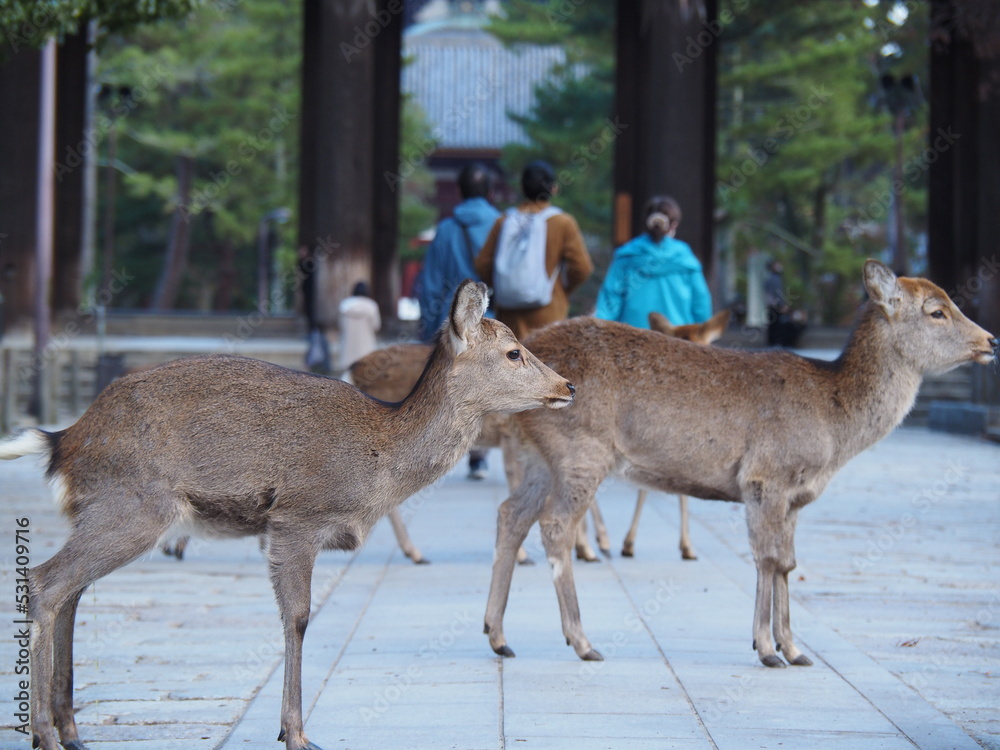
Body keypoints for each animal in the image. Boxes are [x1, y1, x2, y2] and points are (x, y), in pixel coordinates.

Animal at [0, 281, 574, 750]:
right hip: (134, 506)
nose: (568, 386)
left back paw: (72, 731)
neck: (378, 467)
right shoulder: (297, 518)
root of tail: (64, 442)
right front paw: (296, 733)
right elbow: (297, 617)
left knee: (71, 591)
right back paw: (45, 734)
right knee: (46, 580)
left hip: (101, 511)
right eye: (514, 352)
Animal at [482, 261, 997, 668]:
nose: (991, 340)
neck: (834, 429)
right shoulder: (766, 476)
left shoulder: (794, 496)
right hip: (581, 451)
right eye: (936, 310)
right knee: (555, 526)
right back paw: (583, 641)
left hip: (539, 457)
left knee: (511, 515)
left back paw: (498, 636)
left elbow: (788, 561)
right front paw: (768, 649)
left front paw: (794, 648)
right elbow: (770, 558)